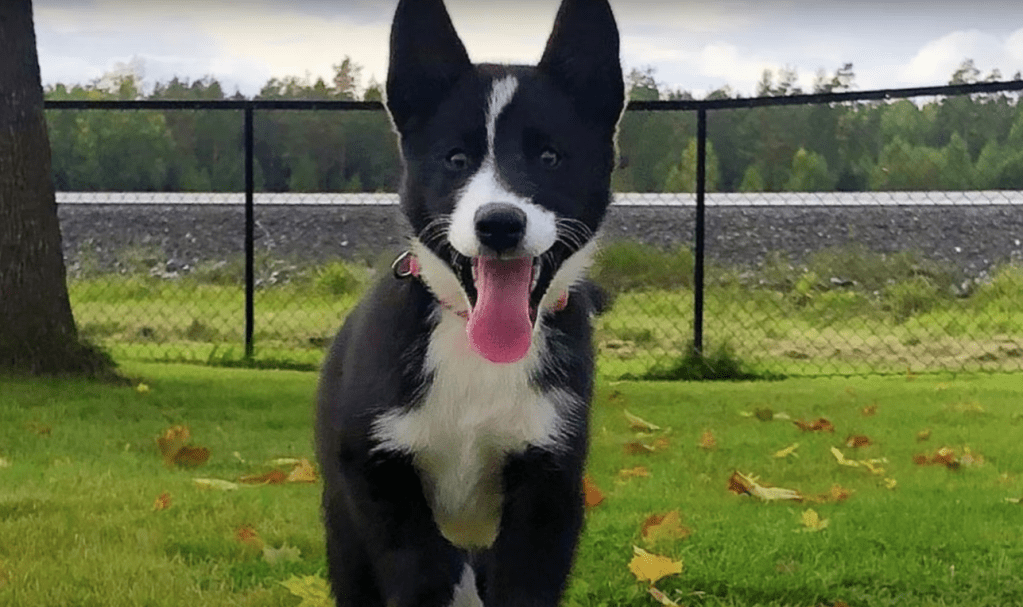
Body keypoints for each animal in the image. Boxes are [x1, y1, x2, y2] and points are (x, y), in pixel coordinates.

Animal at [315, 1, 621, 601]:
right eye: (455, 159)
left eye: (550, 156)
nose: (499, 223)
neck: (472, 351)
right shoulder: (378, 479)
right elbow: (421, 575)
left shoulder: (547, 489)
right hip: (345, 535)